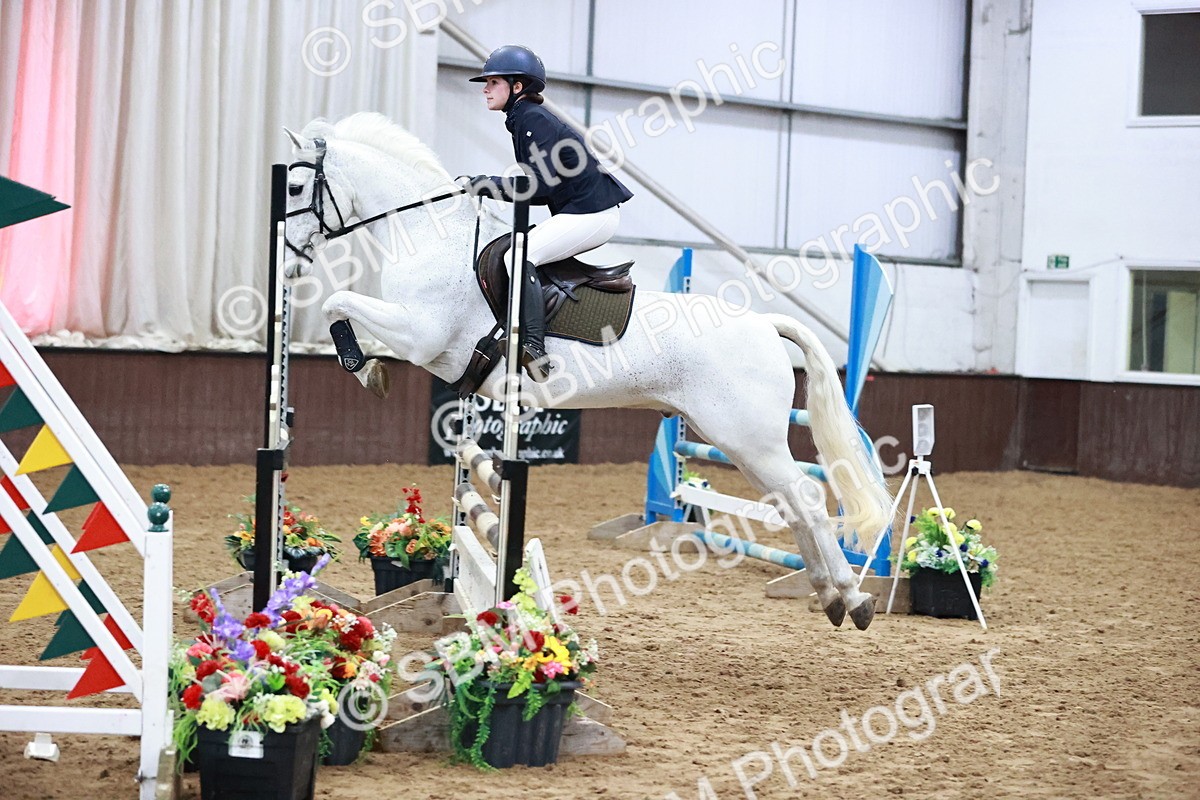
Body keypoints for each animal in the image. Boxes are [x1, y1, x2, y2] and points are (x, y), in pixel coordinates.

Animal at [282, 112, 892, 630]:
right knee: (792, 503)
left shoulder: (421, 335)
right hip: (738, 442)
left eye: (292, 188)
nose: (287, 260)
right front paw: (367, 368)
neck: (434, 239)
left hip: (751, 438)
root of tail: (764, 324)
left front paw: (364, 370)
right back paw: (830, 595)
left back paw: (853, 597)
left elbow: (337, 302)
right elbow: (343, 307)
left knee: (807, 499)